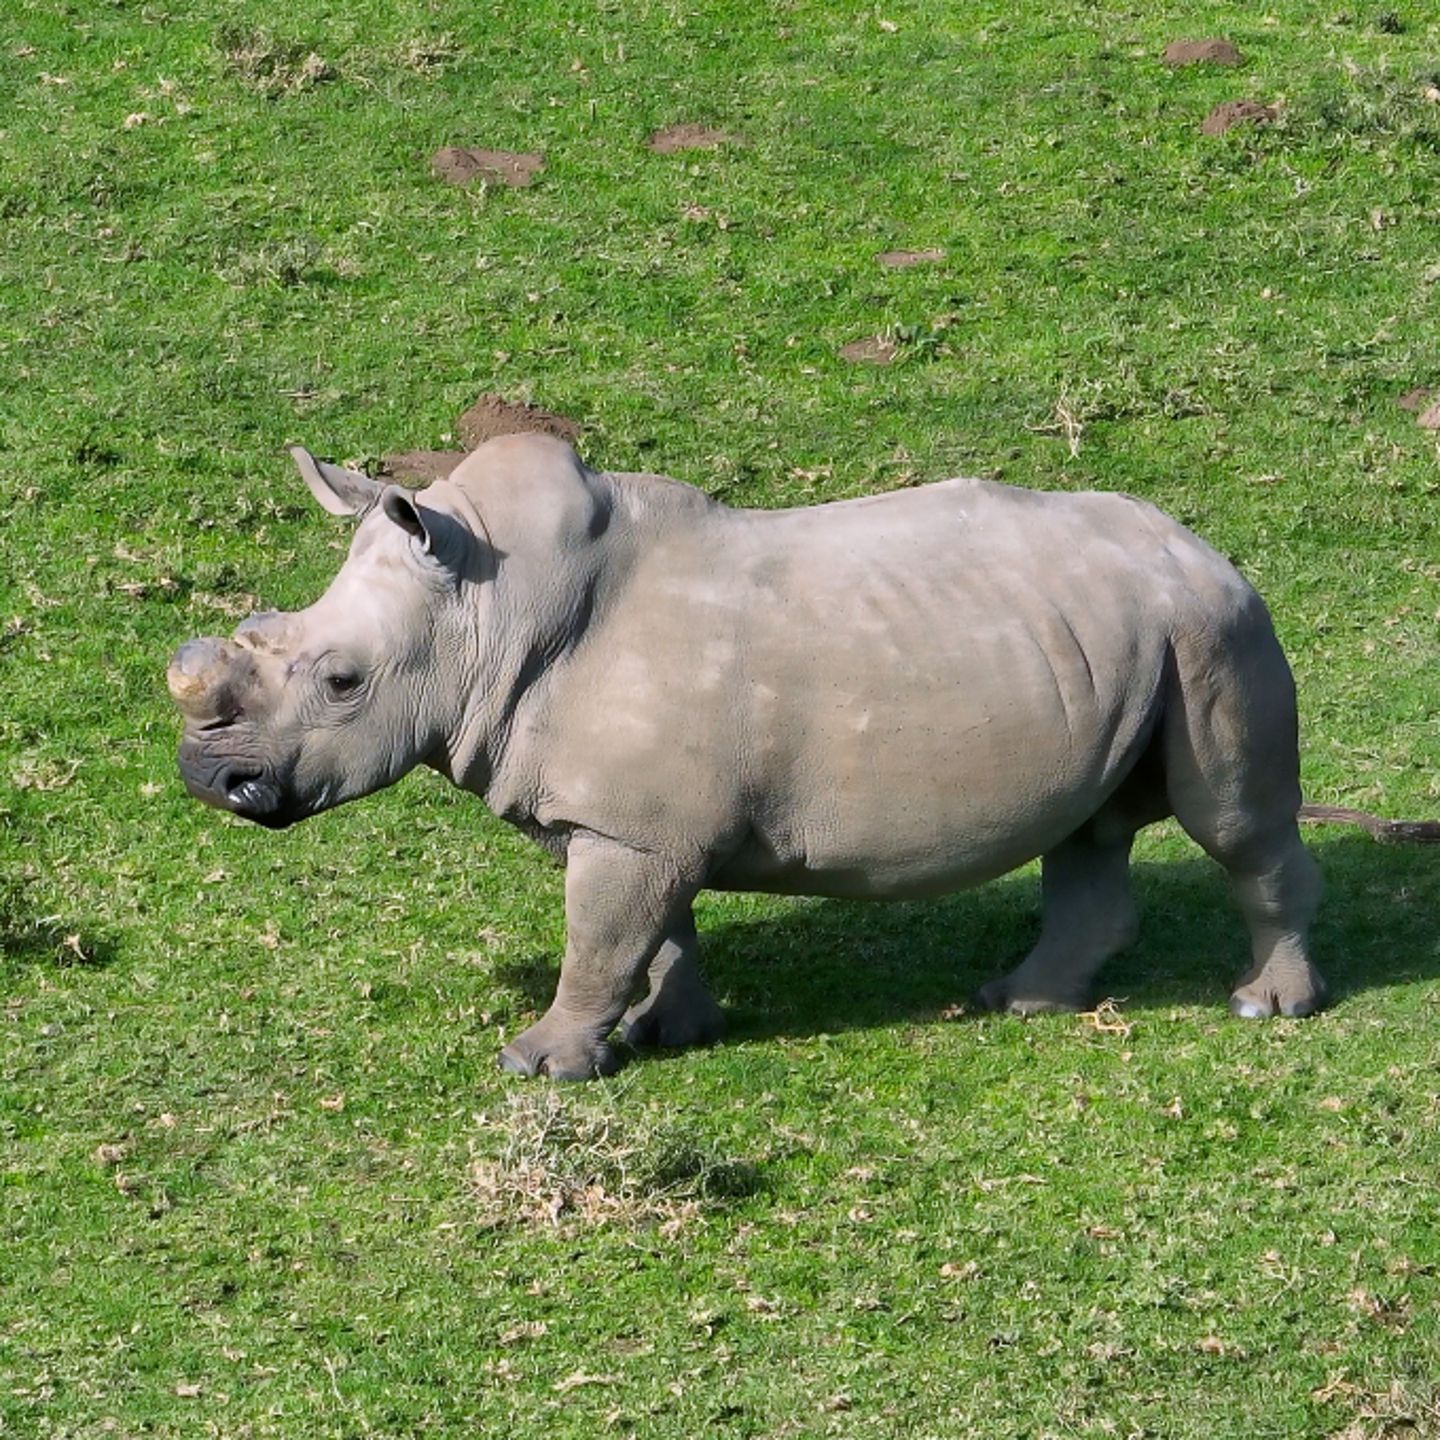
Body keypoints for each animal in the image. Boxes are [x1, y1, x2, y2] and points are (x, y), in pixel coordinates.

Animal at [168, 434, 1324, 1079]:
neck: (488, 608)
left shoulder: (629, 826)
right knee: (1089, 827)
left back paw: (1263, 1009)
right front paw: (668, 1034)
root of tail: (1202, 545)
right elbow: (652, 934)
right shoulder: (632, 820)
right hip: (1122, 634)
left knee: (1233, 823)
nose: (209, 781)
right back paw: (1019, 1001)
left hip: (1213, 629)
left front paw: (540, 1065)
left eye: (342, 682)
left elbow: (602, 940)